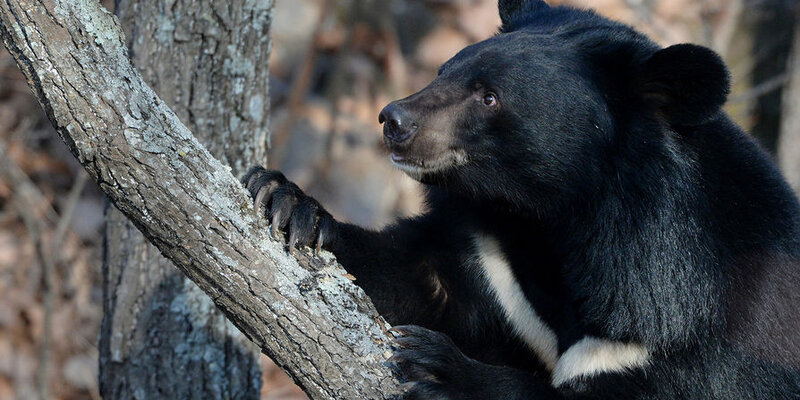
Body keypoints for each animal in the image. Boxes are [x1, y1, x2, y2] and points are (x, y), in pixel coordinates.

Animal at [242, 1, 800, 398]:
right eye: (444, 69)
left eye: (490, 96)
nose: (394, 120)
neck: (556, 218)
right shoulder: (496, 261)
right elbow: (417, 278)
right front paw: (287, 202)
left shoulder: (693, 334)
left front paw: (441, 370)